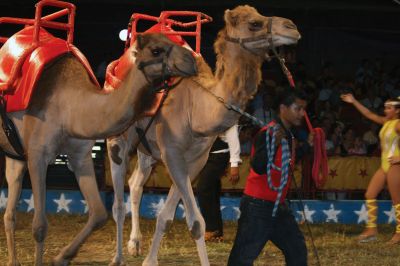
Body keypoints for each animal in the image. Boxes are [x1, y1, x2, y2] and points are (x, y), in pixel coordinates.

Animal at [1, 33, 197, 266]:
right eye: (156, 50)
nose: (192, 60)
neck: (69, 106)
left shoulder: (80, 156)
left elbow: (99, 213)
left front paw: (62, 257)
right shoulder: (37, 156)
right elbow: (39, 226)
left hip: (15, 156)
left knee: (10, 208)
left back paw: (13, 260)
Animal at [106, 4, 300, 266]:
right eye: (254, 23)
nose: (292, 28)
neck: (197, 110)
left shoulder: (195, 160)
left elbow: (167, 216)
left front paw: (149, 260)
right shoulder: (173, 153)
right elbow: (196, 222)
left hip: (147, 148)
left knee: (136, 184)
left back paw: (135, 244)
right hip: (118, 139)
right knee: (117, 202)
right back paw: (117, 257)